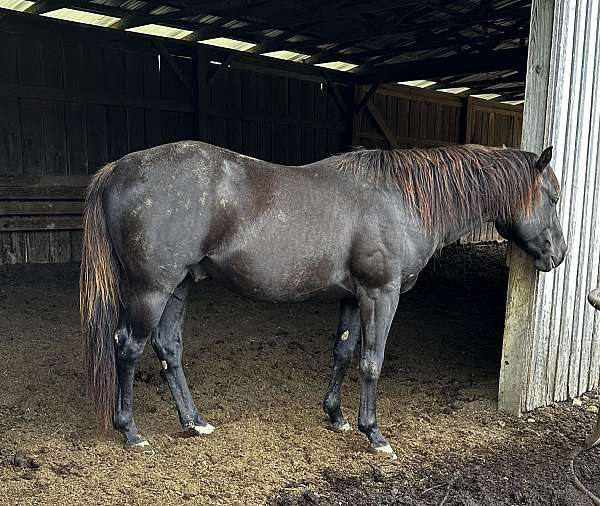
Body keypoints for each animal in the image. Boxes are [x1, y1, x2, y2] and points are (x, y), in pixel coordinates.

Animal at [79, 139, 568, 458]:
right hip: (151, 289)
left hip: (179, 286)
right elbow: (371, 362)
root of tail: (118, 168)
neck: (401, 200)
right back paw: (131, 431)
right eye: (553, 196)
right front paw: (374, 434)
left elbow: (344, 352)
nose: (559, 254)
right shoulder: (381, 294)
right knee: (129, 348)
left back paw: (193, 422)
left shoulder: (353, 297)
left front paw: (336, 416)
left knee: (168, 349)